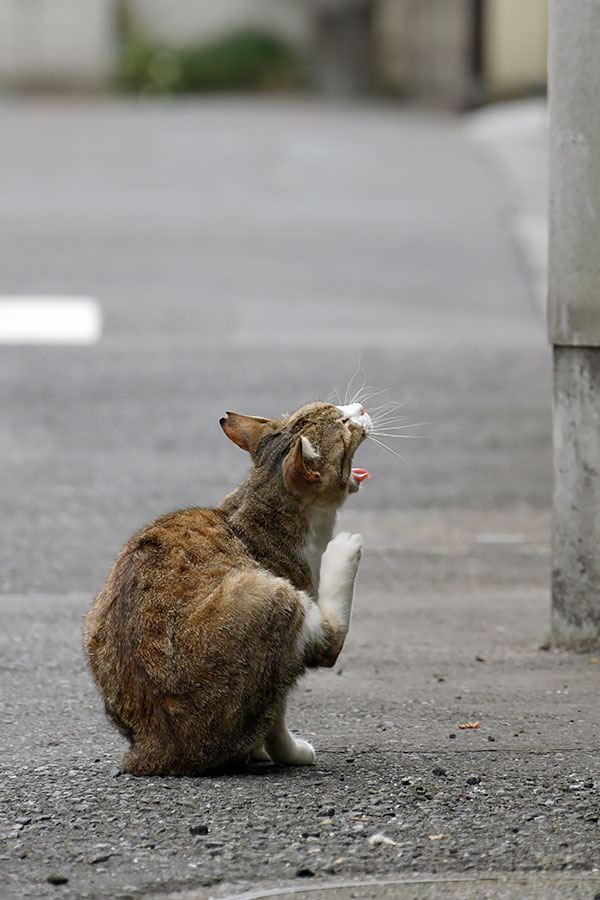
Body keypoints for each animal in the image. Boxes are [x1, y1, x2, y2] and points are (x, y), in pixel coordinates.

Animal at [84, 400, 370, 772]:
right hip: (271, 594)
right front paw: (290, 752)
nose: (360, 407)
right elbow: (278, 716)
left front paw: (258, 751)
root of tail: (154, 748)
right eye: (343, 421)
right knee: (328, 644)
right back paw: (345, 549)